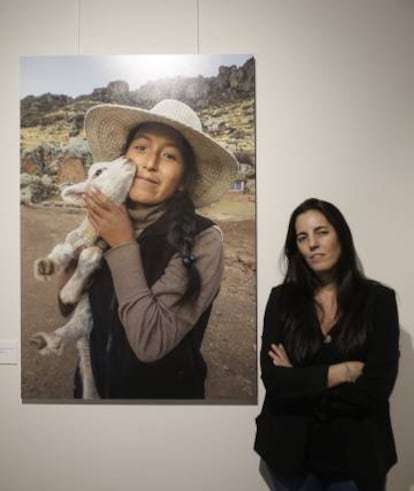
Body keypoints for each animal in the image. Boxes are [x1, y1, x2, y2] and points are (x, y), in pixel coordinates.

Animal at [30, 158, 136, 400]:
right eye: (98, 172)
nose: (129, 159)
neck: (97, 234)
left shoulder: (100, 249)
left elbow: (91, 254)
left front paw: (68, 292)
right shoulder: (73, 240)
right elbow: (63, 250)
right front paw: (46, 267)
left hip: (87, 308)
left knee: (76, 327)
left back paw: (50, 340)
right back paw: (46, 340)